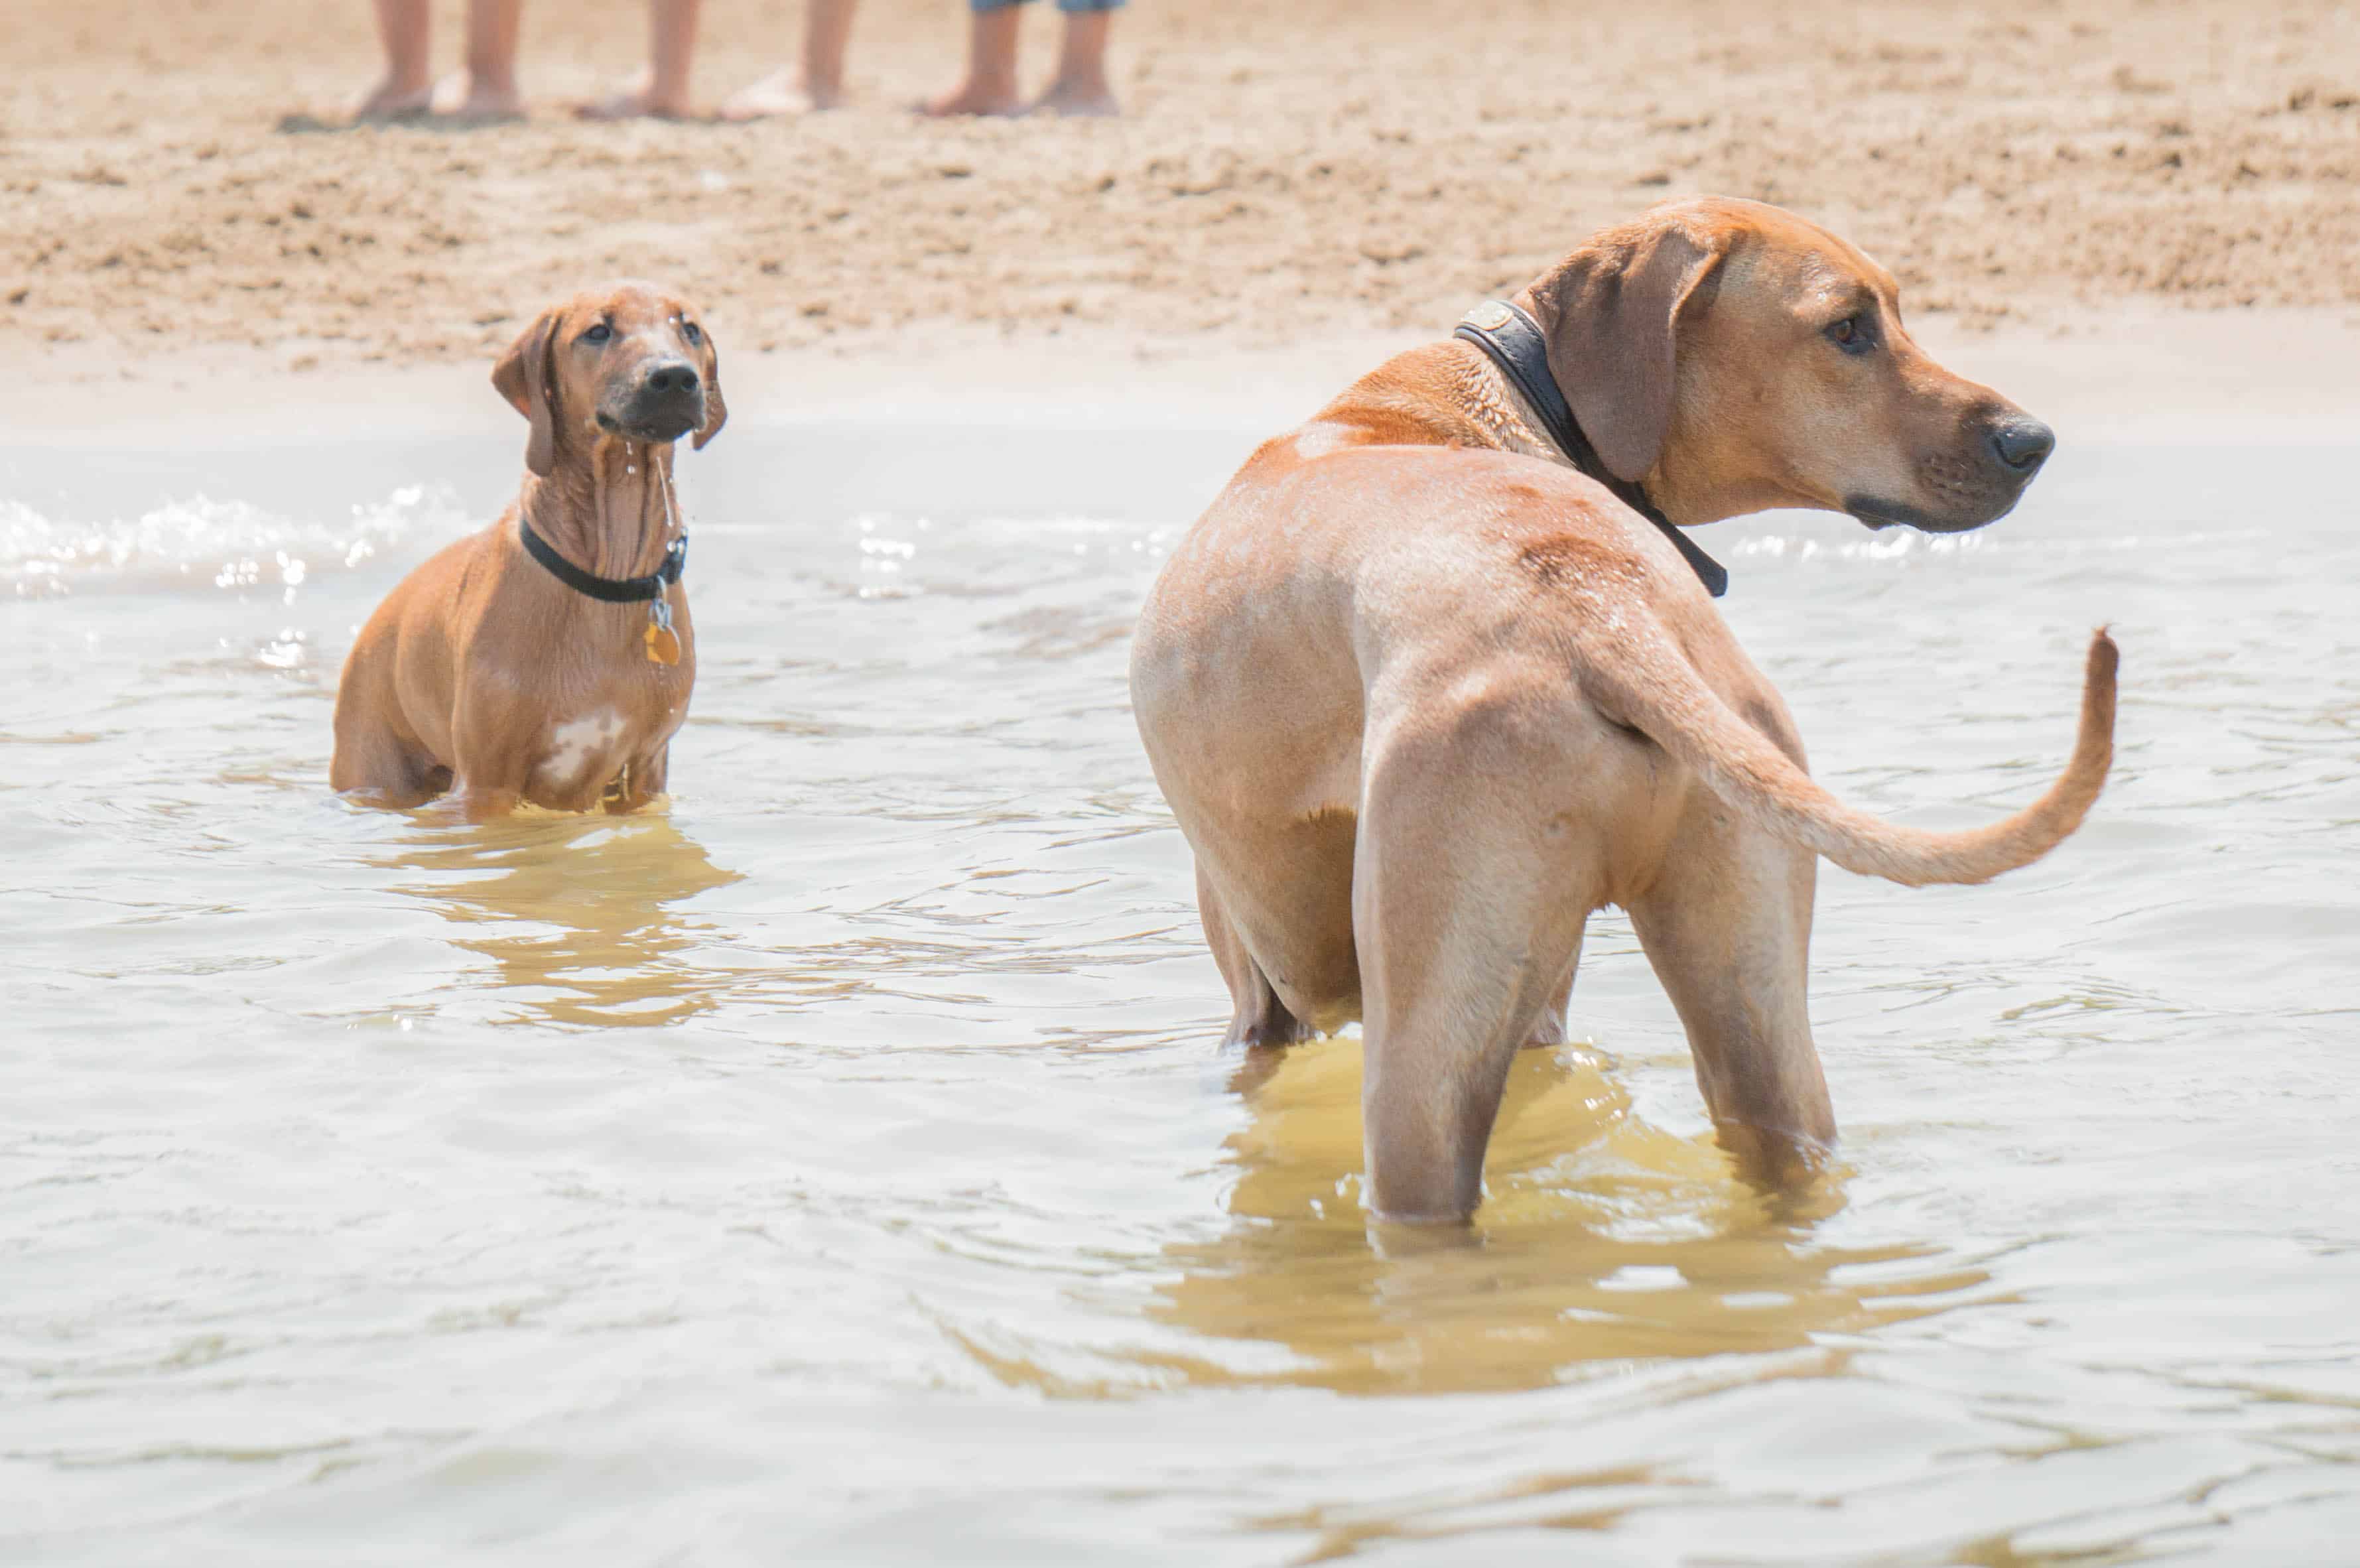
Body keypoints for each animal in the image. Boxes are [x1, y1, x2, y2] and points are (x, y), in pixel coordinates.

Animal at [328, 283, 722, 821]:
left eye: (690, 329)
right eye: (597, 331)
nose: (675, 376)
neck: (607, 575)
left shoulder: (646, 773)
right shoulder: (484, 783)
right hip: (373, 769)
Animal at [1128, 196, 2124, 1228]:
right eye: (1850, 327)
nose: (2032, 443)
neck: (1510, 397)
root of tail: (1594, 607)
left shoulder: (1256, 986)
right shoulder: (1539, 1006)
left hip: (1420, 1034)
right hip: (1749, 979)